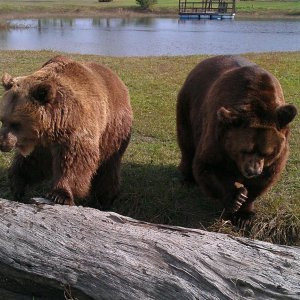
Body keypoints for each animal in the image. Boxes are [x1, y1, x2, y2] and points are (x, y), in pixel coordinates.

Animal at [0, 55, 132, 209]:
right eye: (3, 119)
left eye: (16, 124)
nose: (2, 143)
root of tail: (118, 81)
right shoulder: (42, 143)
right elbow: (31, 163)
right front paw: (17, 185)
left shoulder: (75, 129)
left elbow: (74, 161)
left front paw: (59, 195)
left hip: (113, 131)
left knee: (108, 167)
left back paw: (104, 199)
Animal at [177, 55, 296, 221]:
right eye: (245, 150)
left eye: (266, 153)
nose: (252, 171)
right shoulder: (219, 136)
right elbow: (207, 166)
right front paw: (235, 198)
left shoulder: (277, 154)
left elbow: (264, 180)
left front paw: (245, 213)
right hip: (188, 104)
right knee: (186, 143)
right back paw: (188, 178)